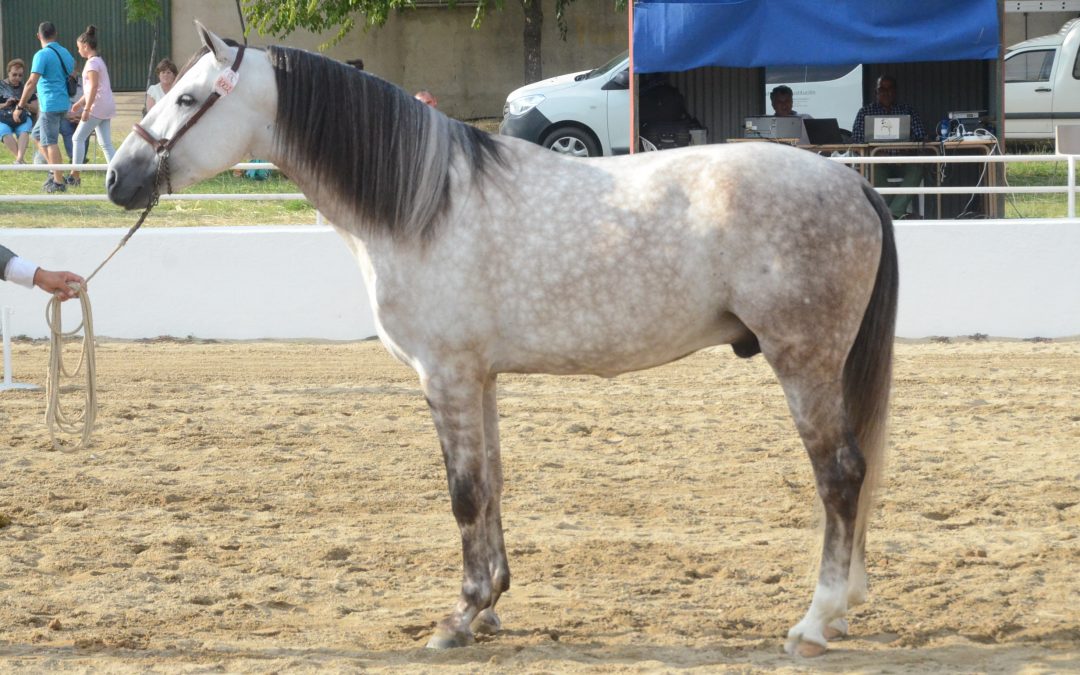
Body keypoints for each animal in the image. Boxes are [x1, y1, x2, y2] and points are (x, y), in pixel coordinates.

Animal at [106, 24, 898, 657]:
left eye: (187, 99)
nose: (118, 177)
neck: (425, 205)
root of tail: (850, 182)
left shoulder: (446, 375)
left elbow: (462, 492)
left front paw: (458, 617)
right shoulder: (478, 378)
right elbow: (491, 485)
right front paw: (490, 605)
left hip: (804, 362)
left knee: (840, 476)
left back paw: (815, 622)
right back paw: (843, 609)